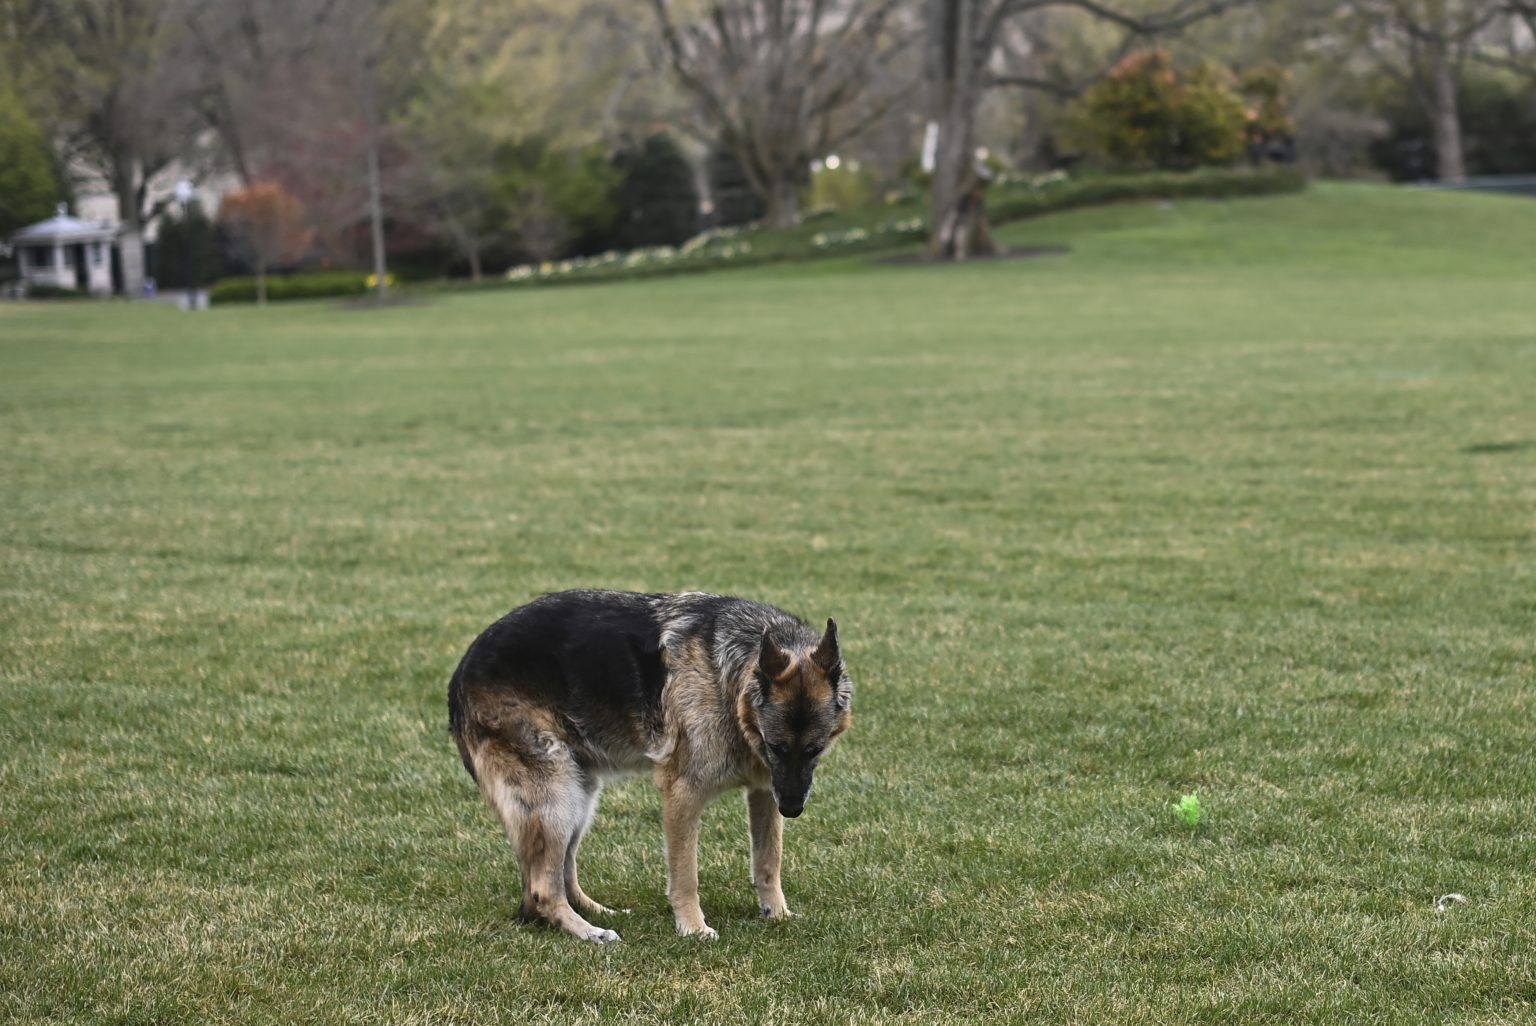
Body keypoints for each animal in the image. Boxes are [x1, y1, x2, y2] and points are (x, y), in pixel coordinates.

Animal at [448, 589, 854, 939]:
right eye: (776, 747)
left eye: (815, 750)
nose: (793, 809)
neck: (729, 677)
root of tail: (458, 675)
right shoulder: (682, 794)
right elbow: (686, 873)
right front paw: (693, 928)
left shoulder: (764, 791)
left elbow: (769, 860)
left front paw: (777, 914)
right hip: (556, 796)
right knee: (542, 890)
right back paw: (589, 933)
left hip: (580, 795)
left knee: (562, 873)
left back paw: (597, 912)